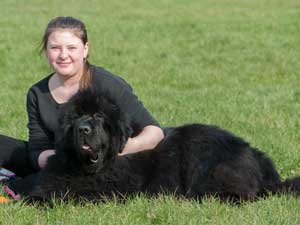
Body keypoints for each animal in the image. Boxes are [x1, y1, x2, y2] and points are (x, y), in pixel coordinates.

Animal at [6, 89, 300, 201]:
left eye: (99, 117)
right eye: (77, 116)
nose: (83, 129)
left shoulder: (103, 189)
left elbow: (60, 194)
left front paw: (33, 200)